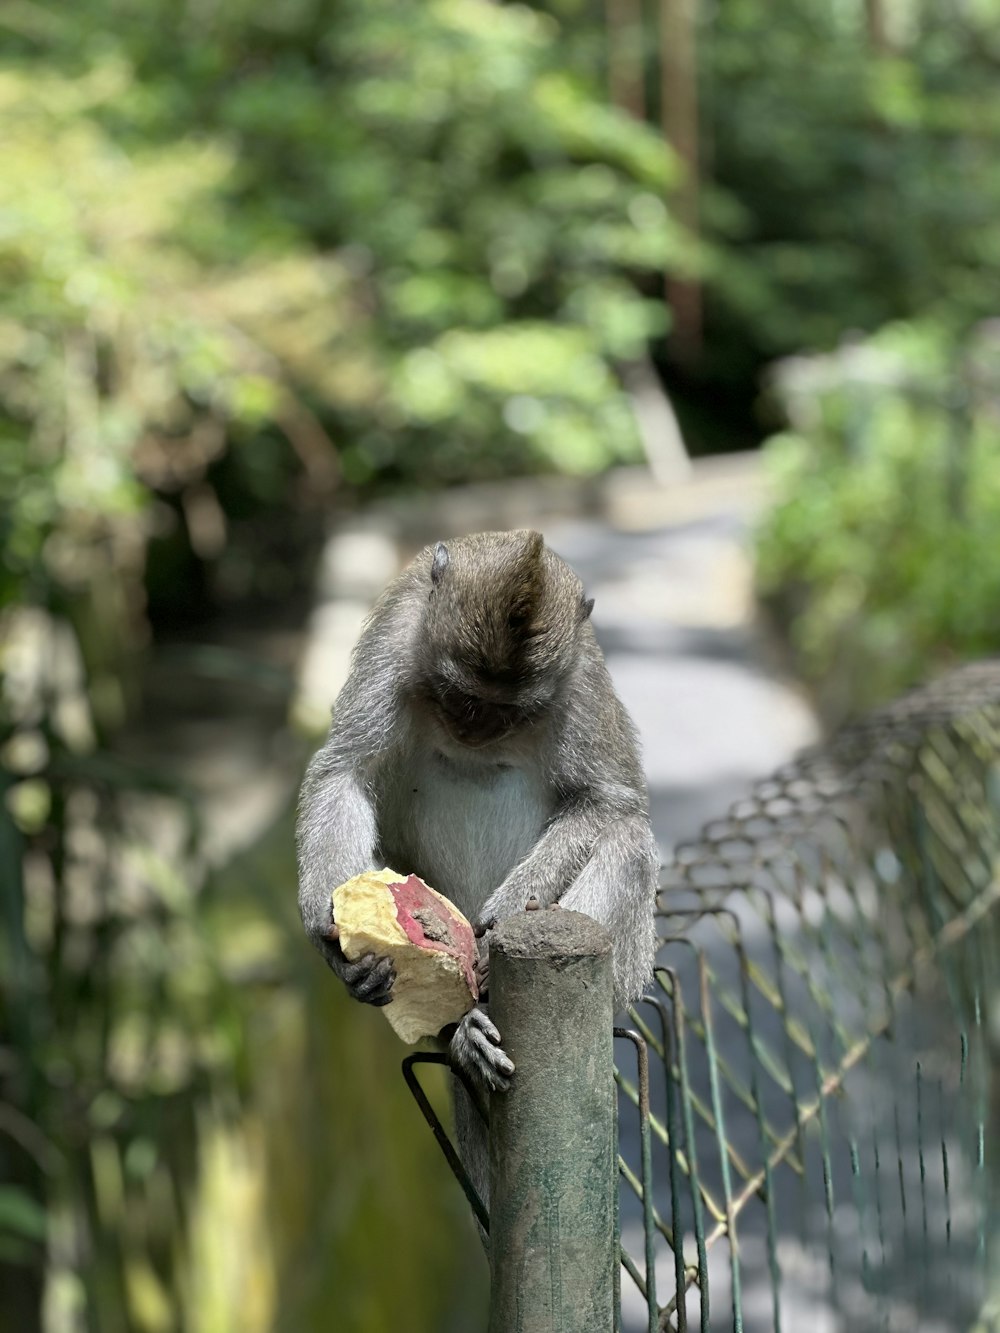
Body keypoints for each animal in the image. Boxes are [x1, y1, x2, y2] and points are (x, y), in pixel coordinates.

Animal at [296, 527, 658, 1210]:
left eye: (508, 711)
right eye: (462, 697)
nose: (476, 728)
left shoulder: (581, 677)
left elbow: (610, 802)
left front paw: (510, 908)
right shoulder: (397, 632)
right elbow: (345, 768)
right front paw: (333, 943)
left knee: (629, 842)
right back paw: (460, 1030)